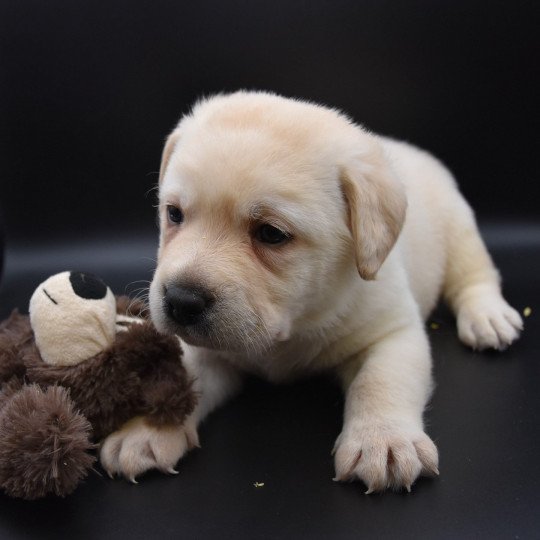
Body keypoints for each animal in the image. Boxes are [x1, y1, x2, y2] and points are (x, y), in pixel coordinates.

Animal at [101, 90, 524, 492]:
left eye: (271, 234)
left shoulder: (393, 331)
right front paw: (146, 429)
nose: (181, 301)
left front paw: (384, 441)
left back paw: (488, 317)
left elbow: (381, 381)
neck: (293, 327)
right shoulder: (206, 350)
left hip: (460, 228)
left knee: (474, 274)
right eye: (174, 214)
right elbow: (178, 376)